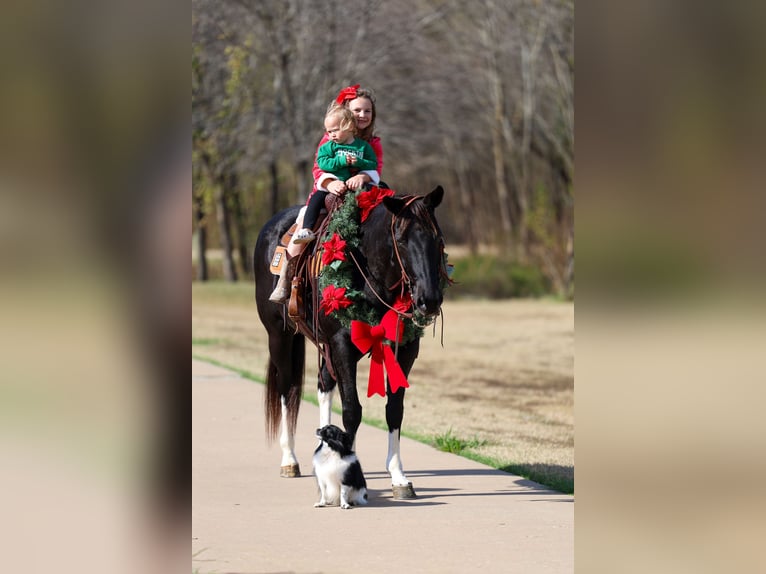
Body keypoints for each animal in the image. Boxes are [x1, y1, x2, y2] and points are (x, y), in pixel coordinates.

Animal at [253, 185, 447, 499]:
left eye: (437, 238)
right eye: (402, 240)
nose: (428, 299)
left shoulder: (404, 349)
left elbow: (394, 410)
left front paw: (399, 478)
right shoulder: (342, 346)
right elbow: (352, 411)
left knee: (323, 386)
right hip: (279, 336)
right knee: (286, 390)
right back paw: (289, 460)